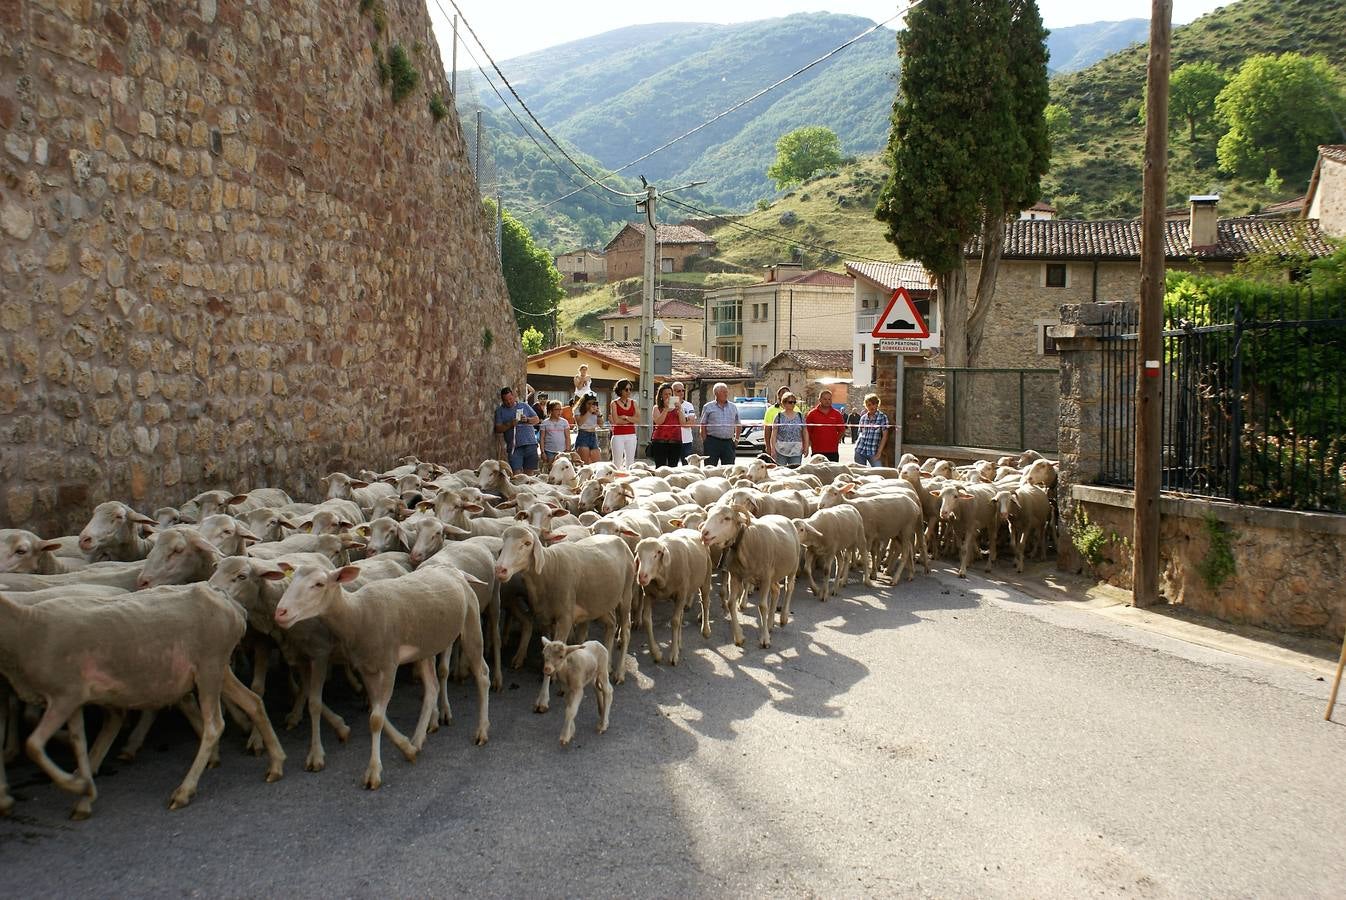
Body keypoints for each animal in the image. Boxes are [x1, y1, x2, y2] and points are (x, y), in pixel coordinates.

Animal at [0, 586, 281, 817]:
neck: (26, 625)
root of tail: (231, 606)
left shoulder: (64, 695)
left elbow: (34, 746)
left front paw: (77, 784)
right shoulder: (73, 699)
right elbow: (79, 743)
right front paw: (85, 791)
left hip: (210, 666)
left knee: (214, 726)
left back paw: (184, 790)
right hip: (217, 669)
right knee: (253, 702)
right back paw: (275, 763)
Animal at [267, 565, 489, 791]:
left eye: (319, 584)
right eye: (292, 579)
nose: (280, 612)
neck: (358, 614)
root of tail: (455, 570)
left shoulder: (388, 665)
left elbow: (375, 719)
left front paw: (373, 773)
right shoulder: (366, 669)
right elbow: (376, 714)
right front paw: (406, 748)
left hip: (471, 622)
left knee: (482, 675)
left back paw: (481, 731)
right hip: (425, 646)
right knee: (432, 688)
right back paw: (418, 740)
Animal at [495, 527, 635, 710]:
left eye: (527, 543)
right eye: (503, 541)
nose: (500, 570)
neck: (548, 570)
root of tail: (619, 539)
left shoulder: (565, 618)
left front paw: (543, 699)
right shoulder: (545, 618)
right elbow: (548, 651)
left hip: (626, 594)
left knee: (625, 630)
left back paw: (619, 673)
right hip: (599, 602)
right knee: (611, 624)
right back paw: (609, 665)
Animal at [632, 530, 716, 664]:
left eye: (656, 554)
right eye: (638, 555)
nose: (642, 577)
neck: (661, 578)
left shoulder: (681, 594)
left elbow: (675, 622)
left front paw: (673, 654)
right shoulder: (649, 595)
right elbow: (647, 621)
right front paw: (656, 653)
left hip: (706, 576)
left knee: (705, 601)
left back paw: (706, 630)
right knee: (682, 615)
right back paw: (679, 643)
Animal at [699, 505, 791, 645]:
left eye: (727, 518)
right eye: (708, 515)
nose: (704, 533)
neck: (747, 540)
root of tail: (781, 517)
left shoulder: (765, 578)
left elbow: (762, 606)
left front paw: (764, 639)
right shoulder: (735, 575)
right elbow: (731, 603)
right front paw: (739, 637)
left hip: (792, 569)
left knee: (789, 588)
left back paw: (784, 617)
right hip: (774, 576)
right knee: (776, 591)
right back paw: (770, 624)